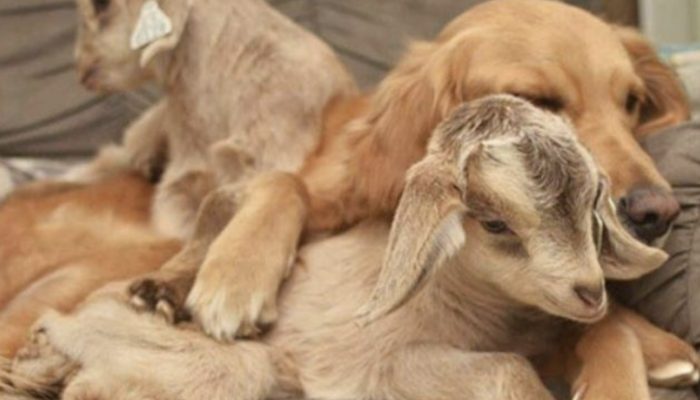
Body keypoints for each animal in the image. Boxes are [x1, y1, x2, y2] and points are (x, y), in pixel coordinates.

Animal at [2, 96, 669, 400]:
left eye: (589, 205)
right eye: (494, 223)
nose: (588, 290)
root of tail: (58, 329)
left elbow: (603, 336)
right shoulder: (374, 368)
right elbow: (509, 369)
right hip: (227, 369)